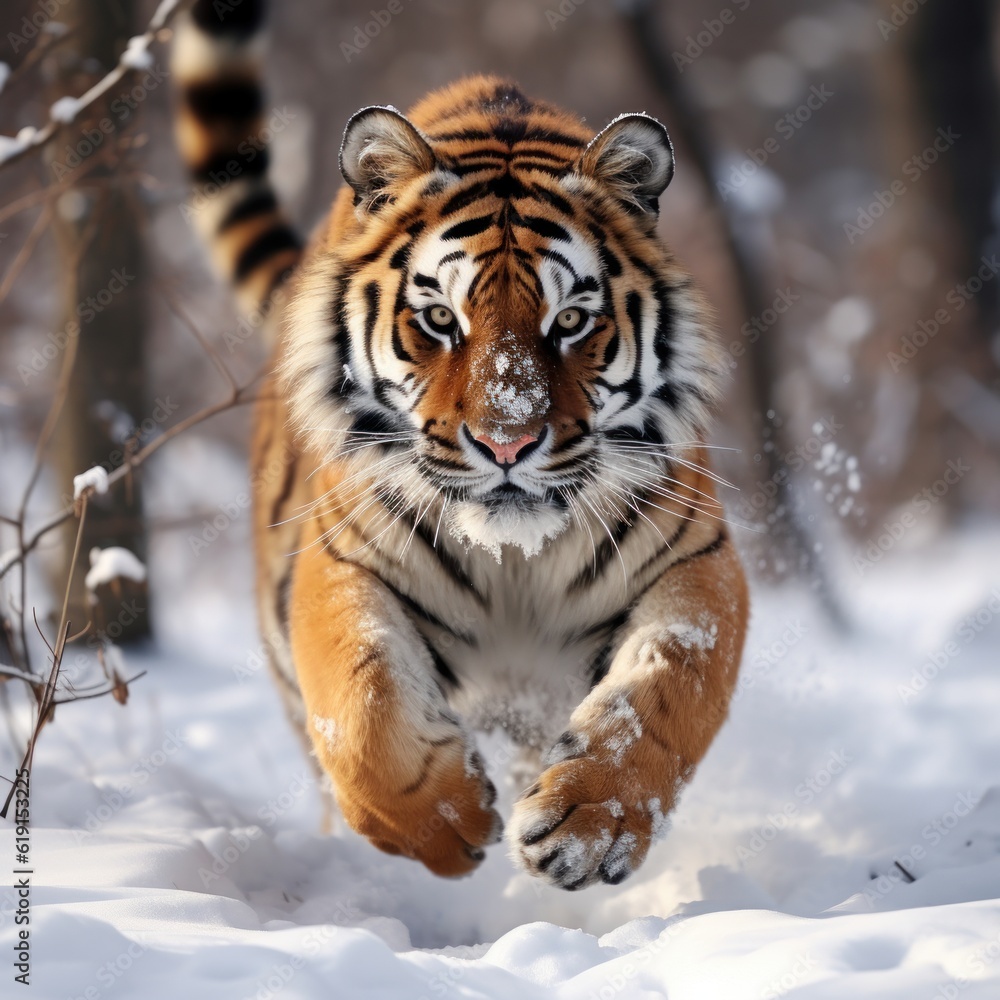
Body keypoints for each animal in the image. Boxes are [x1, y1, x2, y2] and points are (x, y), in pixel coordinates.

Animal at [171, 0, 749, 890]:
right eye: (440, 318)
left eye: (570, 320)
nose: (507, 442)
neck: (515, 559)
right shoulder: (343, 561)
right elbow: (362, 708)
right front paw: (445, 821)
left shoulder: (695, 561)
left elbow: (665, 691)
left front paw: (588, 824)